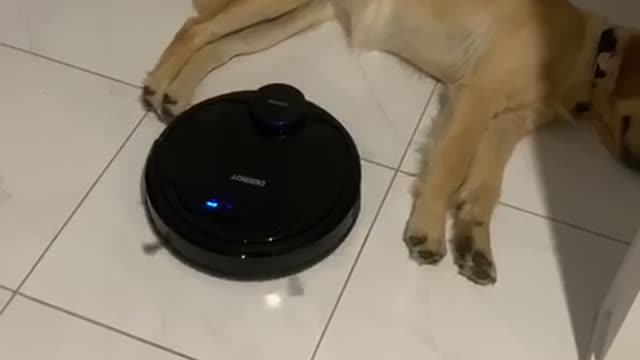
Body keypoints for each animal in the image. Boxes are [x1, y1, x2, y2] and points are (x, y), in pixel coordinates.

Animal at [142, 0, 640, 286]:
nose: (635, 169)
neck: (591, 55)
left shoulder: (508, 123)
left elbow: (484, 189)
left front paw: (474, 242)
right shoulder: (477, 95)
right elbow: (451, 165)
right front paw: (429, 227)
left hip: (295, 17)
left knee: (220, 45)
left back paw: (175, 91)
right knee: (197, 27)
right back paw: (159, 81)